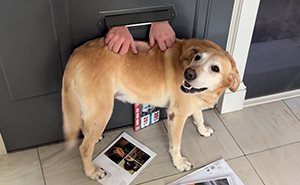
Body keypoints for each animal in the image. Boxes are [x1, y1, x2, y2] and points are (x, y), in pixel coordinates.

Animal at [62, 36, 240, 180]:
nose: (188, 74)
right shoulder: (177, 115)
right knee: (84, 148)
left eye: (215, 68)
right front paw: (179, 162)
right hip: (103, 111)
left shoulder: (193, 102)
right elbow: (176, 144)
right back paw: (91, 172)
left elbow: (199, 117)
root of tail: (77, 53)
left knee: (85, 127)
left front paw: (203, 130)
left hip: (94, 112)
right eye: (197, 57)